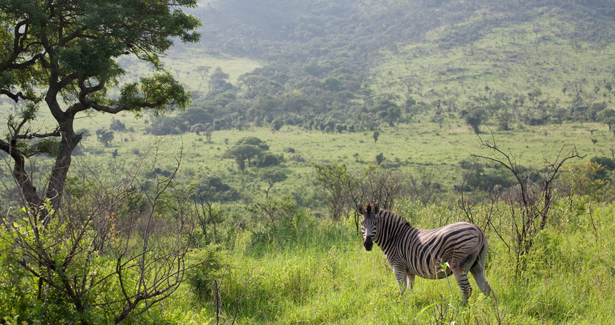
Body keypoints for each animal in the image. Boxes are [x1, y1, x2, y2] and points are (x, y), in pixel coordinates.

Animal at [358, 201, 494, 300]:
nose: (367, 245)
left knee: (467, 290)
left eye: (375, 223)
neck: (395, 237)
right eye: (362, 224)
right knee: (486, 288)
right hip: (477, 265)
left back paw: (461, 310)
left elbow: (402, 289)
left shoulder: (398, 267)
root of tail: (478, 229)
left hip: (459, 264)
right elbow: (410, 289)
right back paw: (488, 309)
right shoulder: (409, 270)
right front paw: (409, 304)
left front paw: (401, 305)